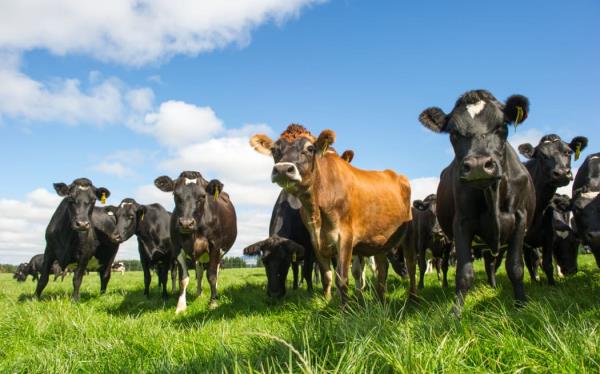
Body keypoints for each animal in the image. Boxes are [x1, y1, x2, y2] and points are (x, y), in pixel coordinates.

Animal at [155, 172, 237, 312]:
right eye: (175, 195)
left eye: (203, 196)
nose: (186, 223)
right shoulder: (178, 248)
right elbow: (183, 279)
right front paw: (181, 306)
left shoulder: (215, 245)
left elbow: (212, 276)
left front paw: (213, 302)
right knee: (199, 273)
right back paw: (199, 294)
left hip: (219, 254)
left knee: (215, 272)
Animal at [250, 124, 412, 306]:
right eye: (274, 150)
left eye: (310, 148)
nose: (283, 169)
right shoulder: (315, 242)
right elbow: (326, 277)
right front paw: (327, 301)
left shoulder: (345, 237)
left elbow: (343, 278)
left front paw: (345, 308)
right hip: (379, 242)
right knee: (382, 270)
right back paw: (380, 300)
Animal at [420, 88, 536, 310]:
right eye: (454, 133)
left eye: (502, 126)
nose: (478, 165)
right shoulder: (461, 223)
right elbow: (464, 274)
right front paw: (456, 312)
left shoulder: (520, 218)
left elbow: (515, 267)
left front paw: (521, 305)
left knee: (491, 263)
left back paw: (493, 285)